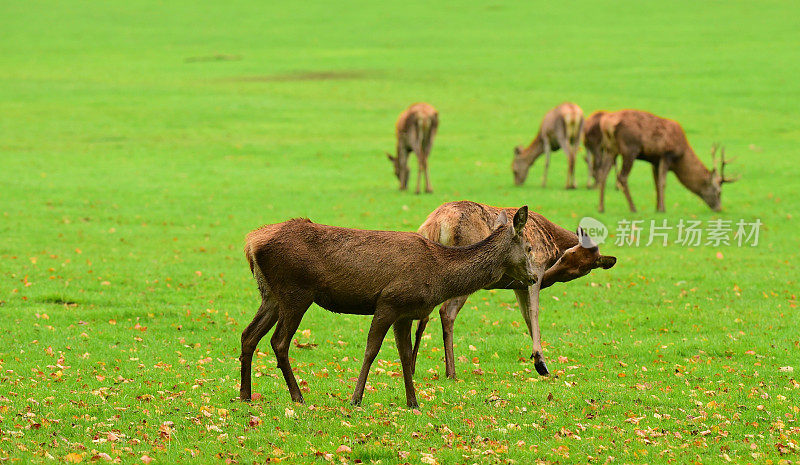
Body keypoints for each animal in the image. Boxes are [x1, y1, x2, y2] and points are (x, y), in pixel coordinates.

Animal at [238, 207, 536, 406]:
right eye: (530, 248)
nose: (534, 277)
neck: (438, 275)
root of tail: (251, 242)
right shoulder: (389, 301)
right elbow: (371, 350)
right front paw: (355, 399)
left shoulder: (405, 313)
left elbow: (404, 356)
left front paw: (413, 402)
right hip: (295, 291)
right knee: (278, 341)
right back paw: (297, 396)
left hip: (270, 294)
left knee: (248, 335)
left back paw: (245, 394)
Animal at [410, 199, 616, 376]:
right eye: (566, 255)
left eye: (581, 271)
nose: (544, 278)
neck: (553, 243)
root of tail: (435, 224)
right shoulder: (536, 267)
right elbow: (534, 312)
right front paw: (541, 363)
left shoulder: (520, 285)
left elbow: (526, 315)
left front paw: (537, 358)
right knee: (446, 312)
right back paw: (450, 372)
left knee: (424, 317)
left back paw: (413, 368)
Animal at [592, 109, 736, 211]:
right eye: (718, 192)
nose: (719, 208)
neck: (682, 155)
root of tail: (607, 124)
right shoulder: (667, 155)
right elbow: (663, 182)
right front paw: (662, 209)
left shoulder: (655, 160)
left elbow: (656, 183)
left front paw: (657, 208)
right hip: (630, 149)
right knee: (622, 177)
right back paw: (633, 208)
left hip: (611, 149)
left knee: (603, 174)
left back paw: (601, 208)